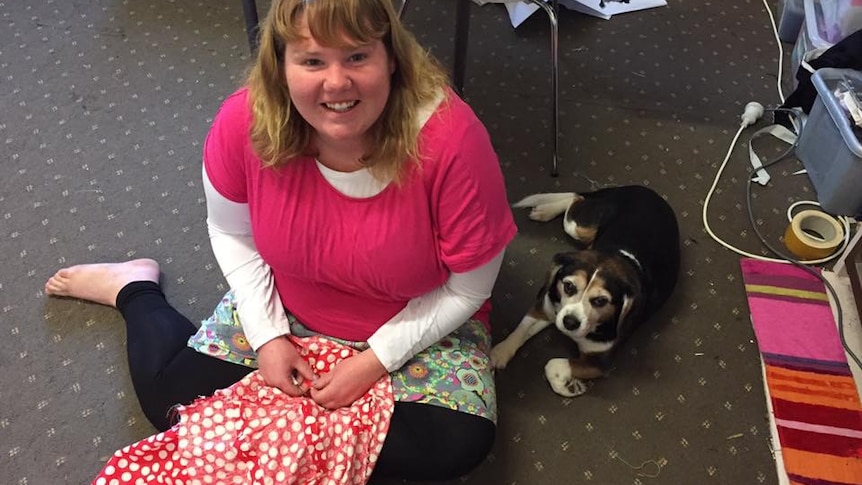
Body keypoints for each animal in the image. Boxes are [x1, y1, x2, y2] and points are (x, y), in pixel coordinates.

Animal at [492, 185, 680, 398]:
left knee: (576, 198)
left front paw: (571, 386)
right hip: (578, 227)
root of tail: (640, 188)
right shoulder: (546, 306)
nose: (570, 322)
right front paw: (500, 351)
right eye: (568, 286)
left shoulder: (599, 362)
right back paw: (545, 210)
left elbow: (552, 366)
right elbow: (521, 329)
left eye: (600, 301)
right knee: (575, 199)